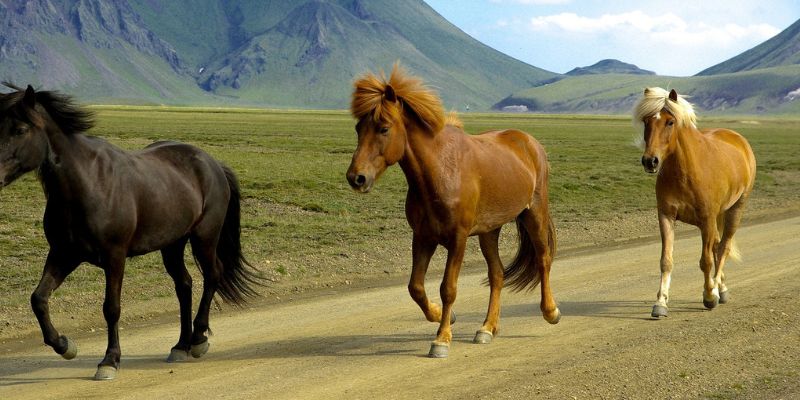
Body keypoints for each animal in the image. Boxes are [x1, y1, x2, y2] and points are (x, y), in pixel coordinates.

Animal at [0, 85, 260, 382]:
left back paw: (198, 339)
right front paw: (65, 345)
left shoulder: (115, 257)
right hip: (172, 244)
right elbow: (39, 299)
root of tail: (212, 163)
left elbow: (111, 308)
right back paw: (180, 345)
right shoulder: (63, 254)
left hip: (204, 238)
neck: (87, 184)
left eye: (20, 129)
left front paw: (109, 361)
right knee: (184, 285)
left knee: (212, 275)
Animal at [346, 66, 564, 360]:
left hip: (534, 214)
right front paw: (442, 316)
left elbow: (448, 288)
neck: (440, 171)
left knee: (543, 259)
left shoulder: (457, 239)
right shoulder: (423, 237)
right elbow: (416, 287)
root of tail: (529, 142)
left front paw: (442, 339)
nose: (356, 178)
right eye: (358, 128)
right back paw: (487, 328)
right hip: (489, 231)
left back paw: (550, 311)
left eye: (383, 128)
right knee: (497, 274)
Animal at [632, 87, 756, 318]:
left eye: (670, 122)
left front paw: (709, 296)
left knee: (723, 248)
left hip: (735, 210)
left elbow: (706, 260)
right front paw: (660, 303)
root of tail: (737, 138)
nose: (650, 161)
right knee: (717, 246)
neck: (686, 171)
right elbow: (666, 261)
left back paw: (717, 289)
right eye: (646, 121)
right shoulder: (666, 217)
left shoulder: (706, 220)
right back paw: (721, 287)